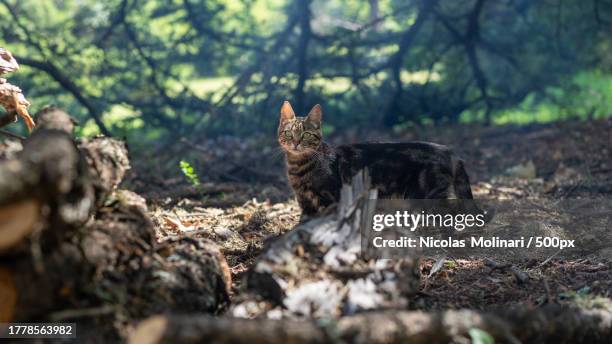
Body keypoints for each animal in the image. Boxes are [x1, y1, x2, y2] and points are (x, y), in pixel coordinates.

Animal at [278, 101, 478, 216]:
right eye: (288, 133)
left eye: (306, 135)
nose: (295, 143)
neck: (298, 167)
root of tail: (447, 150)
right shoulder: (304, 202)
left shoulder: (331, 198)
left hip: (428, 194)